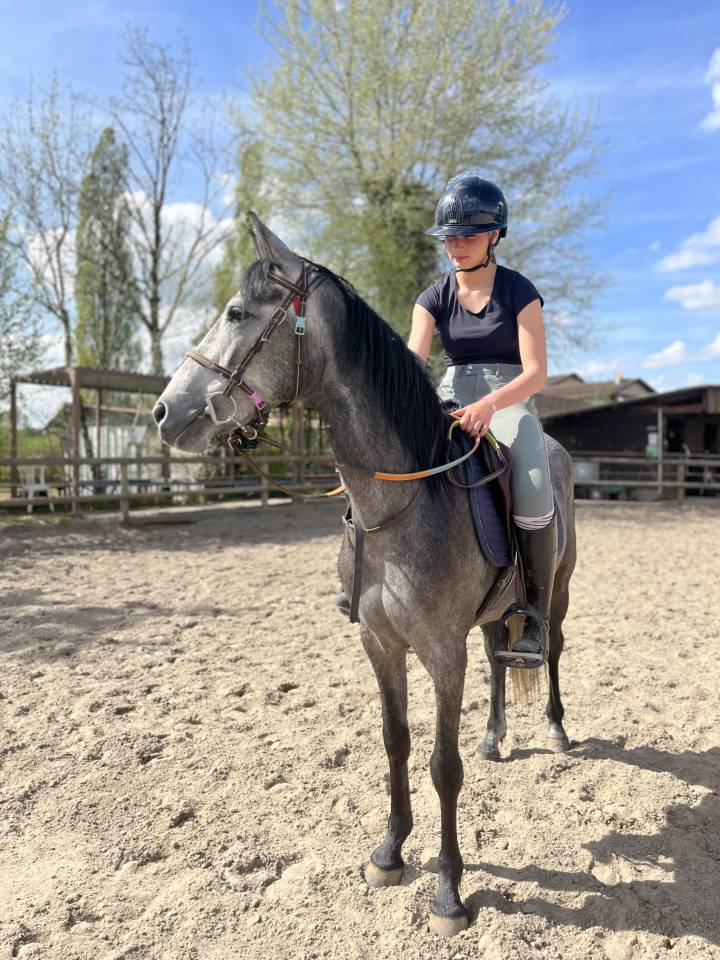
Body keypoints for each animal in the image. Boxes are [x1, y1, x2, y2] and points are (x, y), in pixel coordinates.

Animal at [152, 213, 577, 937]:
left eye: (237, 313)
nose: (163, 413)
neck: (401, 505)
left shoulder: (442, 651)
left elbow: (442, 766)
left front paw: (449, 892)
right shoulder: (379, 642)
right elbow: (395, 742)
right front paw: (389, 852)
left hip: (561, 592)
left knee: (548, 648)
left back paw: (555, 726)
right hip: (494, 614)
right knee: (500, 654)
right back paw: (496, 737)